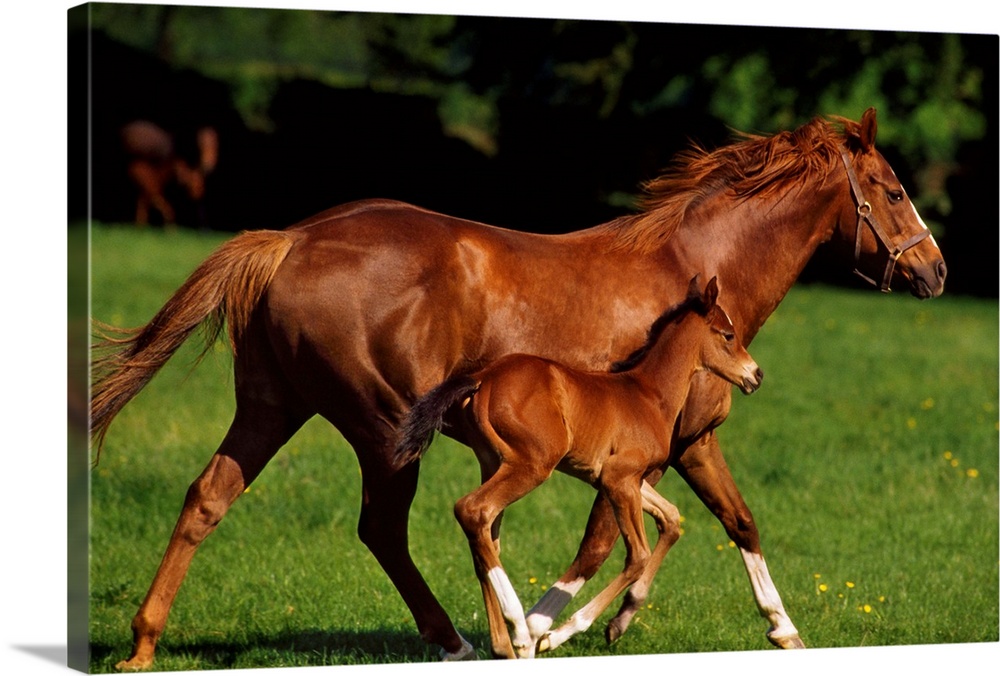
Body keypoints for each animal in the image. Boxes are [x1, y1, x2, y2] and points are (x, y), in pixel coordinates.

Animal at [394, 275, 762, 657]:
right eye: (728, 335)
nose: (757, 374)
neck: (649, 394)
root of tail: (484, 377)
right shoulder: (619, 478)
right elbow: (638, 555)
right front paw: (556, 633)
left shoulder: (618, 480)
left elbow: (672, 518)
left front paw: (615, 621)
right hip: (532, 465)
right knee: (472, 509)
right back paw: (520, 631)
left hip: (492, 463)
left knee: (485, 536)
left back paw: (504, 645)